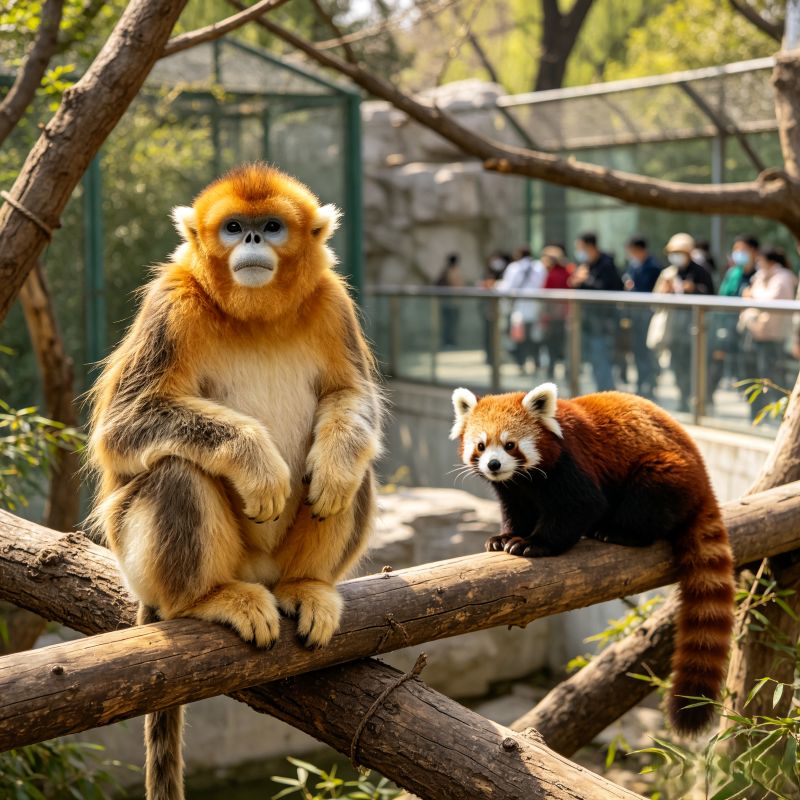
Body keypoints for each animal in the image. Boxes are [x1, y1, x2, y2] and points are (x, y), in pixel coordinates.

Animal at [87, 163, 382, 800]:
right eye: (232, 227)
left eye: (270, 227)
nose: (249, 240)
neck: (257, 316)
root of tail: (261, 572)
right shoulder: (170, 303)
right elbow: (124, 424)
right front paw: (258, 465)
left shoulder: (333, 302)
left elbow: (351, 397)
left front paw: (330, 467)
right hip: (143, 556)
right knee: (175, 473)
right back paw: (207, 598)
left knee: (354, 472)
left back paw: (307, 584)